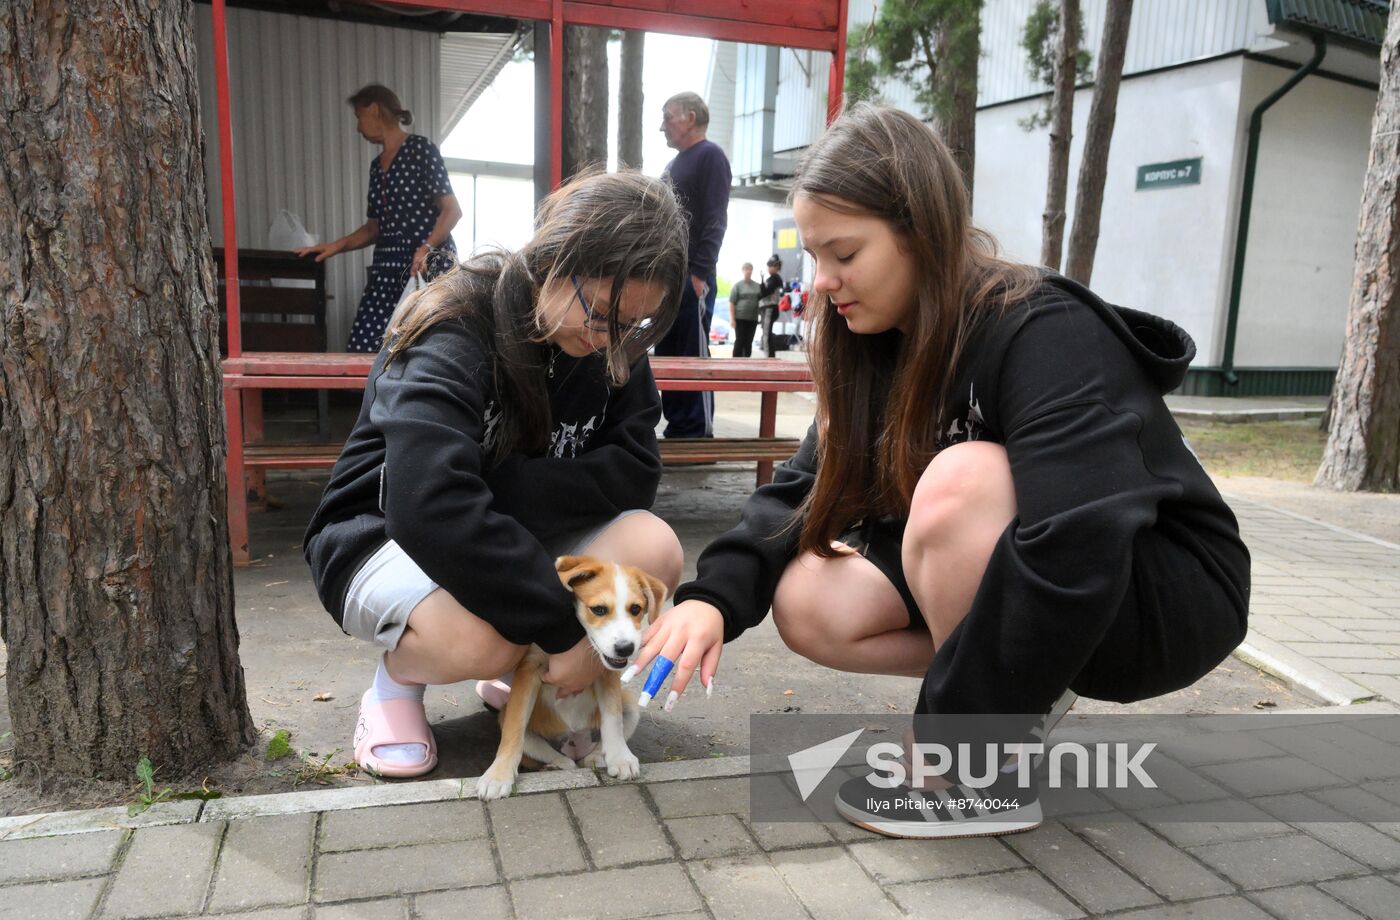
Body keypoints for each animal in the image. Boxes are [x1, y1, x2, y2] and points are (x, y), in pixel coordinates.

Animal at [476, 551, 666, 795]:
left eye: (636, 609)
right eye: (599, 609)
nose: (625, 648)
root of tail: (575, 745)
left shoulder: (606, 672)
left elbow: (613, 718)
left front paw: (620, 758)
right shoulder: (528, 670)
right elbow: (514, 729)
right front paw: (498, 776)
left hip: (630, 705)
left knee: (589, 755)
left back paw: (598, 758)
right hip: (507, 715)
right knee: (558, 759)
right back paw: (555, 765)